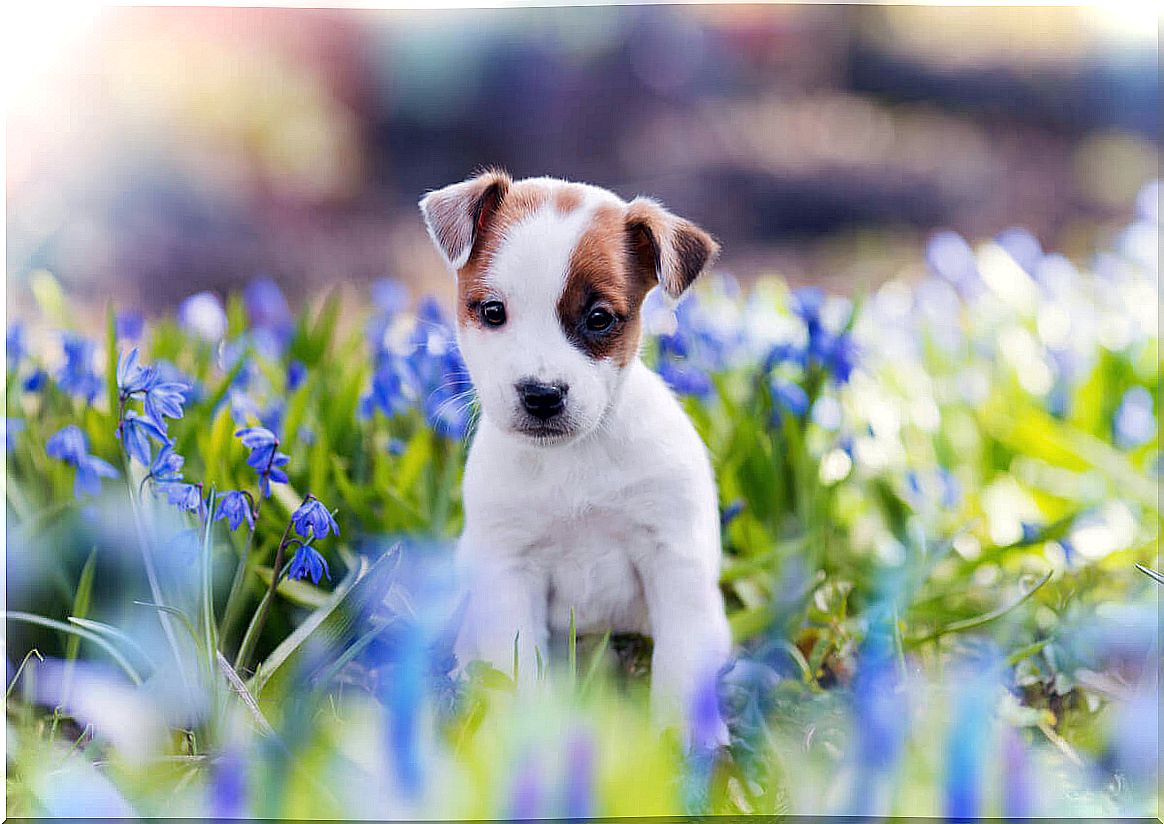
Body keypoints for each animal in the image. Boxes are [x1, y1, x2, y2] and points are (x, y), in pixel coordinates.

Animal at [416, 171, 726, 735]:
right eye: (492, 311)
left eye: (599, 318)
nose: (541, 394)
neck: (574, 460)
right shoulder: (511, 573)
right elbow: (519, 671)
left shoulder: (673, 560)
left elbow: (681, 663)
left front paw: (684, 743)